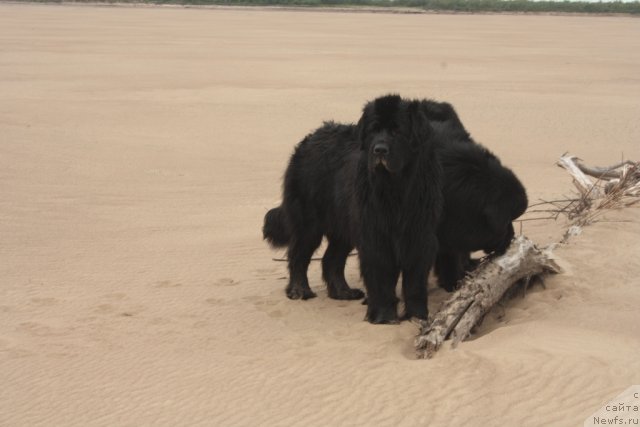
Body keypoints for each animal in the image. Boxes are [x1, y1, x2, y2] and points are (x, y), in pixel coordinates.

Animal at [262, 96, 442, 324]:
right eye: (374, 130)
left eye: (397, 131)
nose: (379, 150)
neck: (394, 188)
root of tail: (310, 138)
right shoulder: (374, 235)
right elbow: (381, 274)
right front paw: (383, 315)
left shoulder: (418, 234)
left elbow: (415, 280)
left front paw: (417, 316)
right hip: (309, 223)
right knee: (298, 254)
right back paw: (299, 289)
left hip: (343, 226)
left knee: (331, 260)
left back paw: (342, 292)